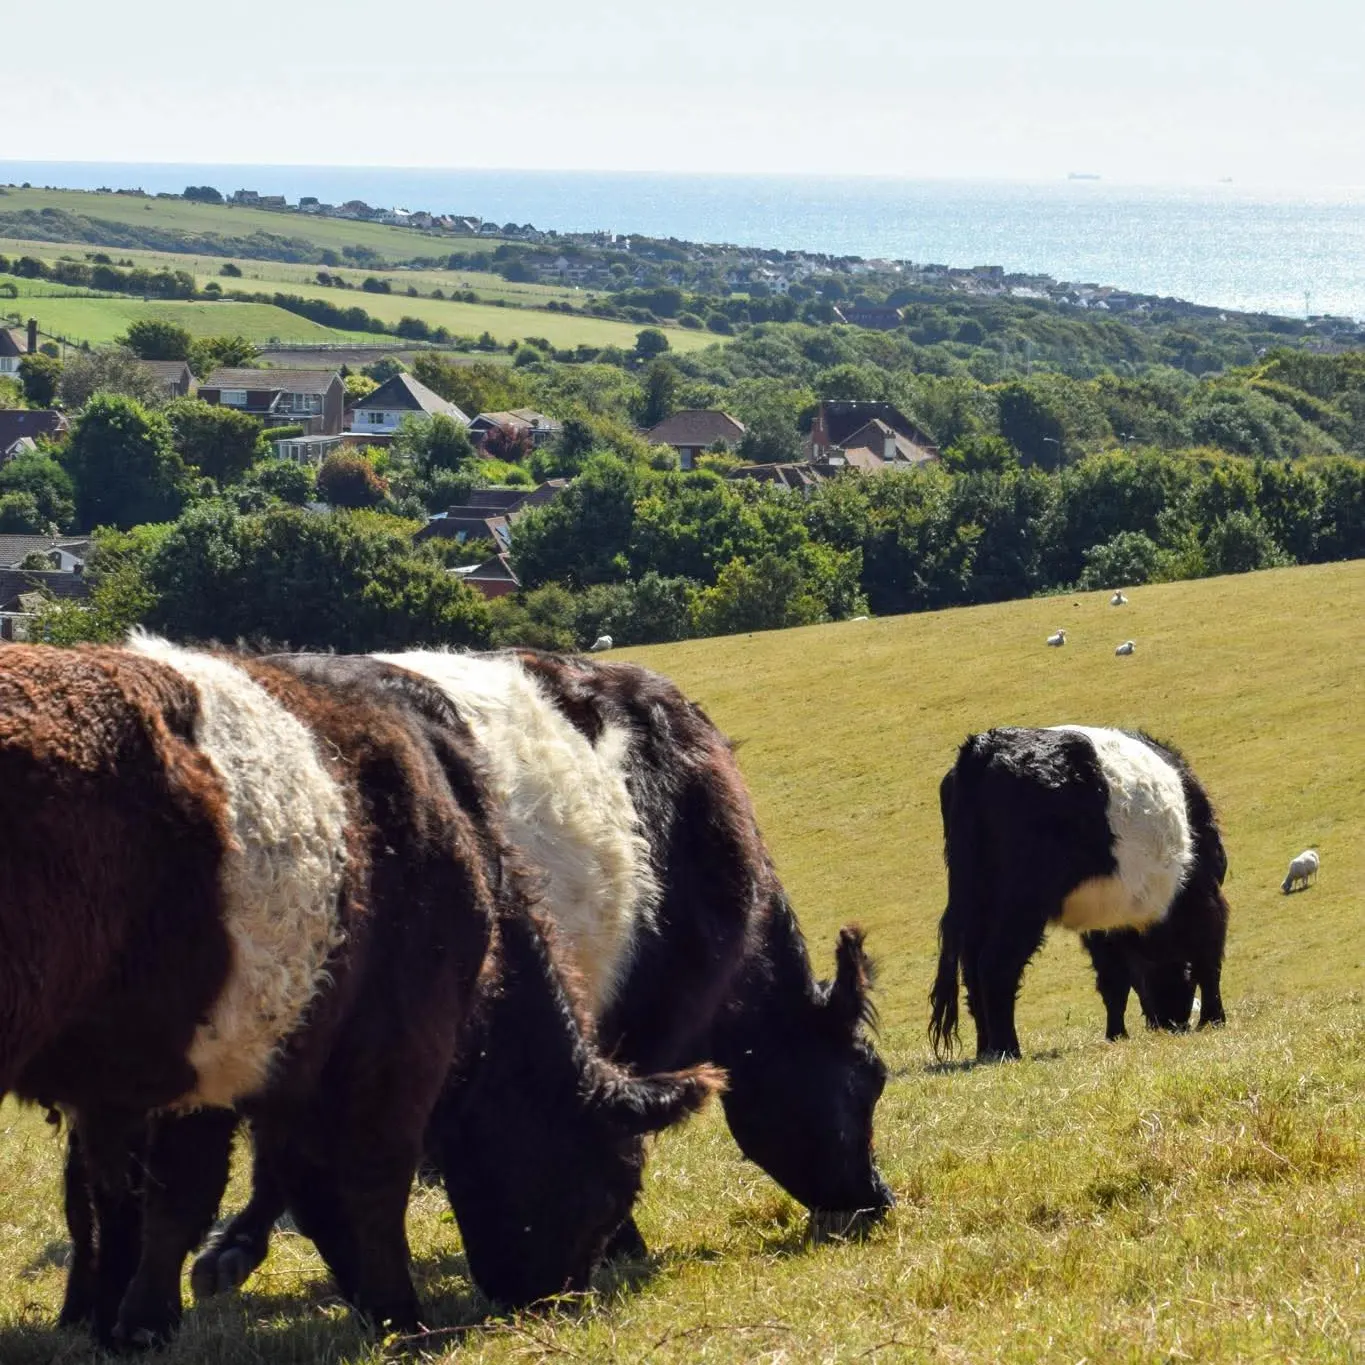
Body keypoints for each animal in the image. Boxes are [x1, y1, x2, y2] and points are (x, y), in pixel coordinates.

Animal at [18, 644, 715, 1348]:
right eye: (611, 1192)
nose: (555, 1300)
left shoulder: (214, 1069)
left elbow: (172, 1194)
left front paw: (129, 1320)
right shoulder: (395, 1047)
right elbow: (363, 1179)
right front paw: (397, 1320)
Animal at [928, 726, 1228, 1053]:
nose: (1173, 1023)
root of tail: (984, 747)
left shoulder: (1105, 922)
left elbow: (1114, 981)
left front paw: (1116, 1035)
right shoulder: (1205, 897)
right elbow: (1208, 958)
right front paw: (1214, 1020)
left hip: (975, 901)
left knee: (971, 969)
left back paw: (987, 1048)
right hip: (1021, 904)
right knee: (995, 965)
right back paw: (1008, 1049)